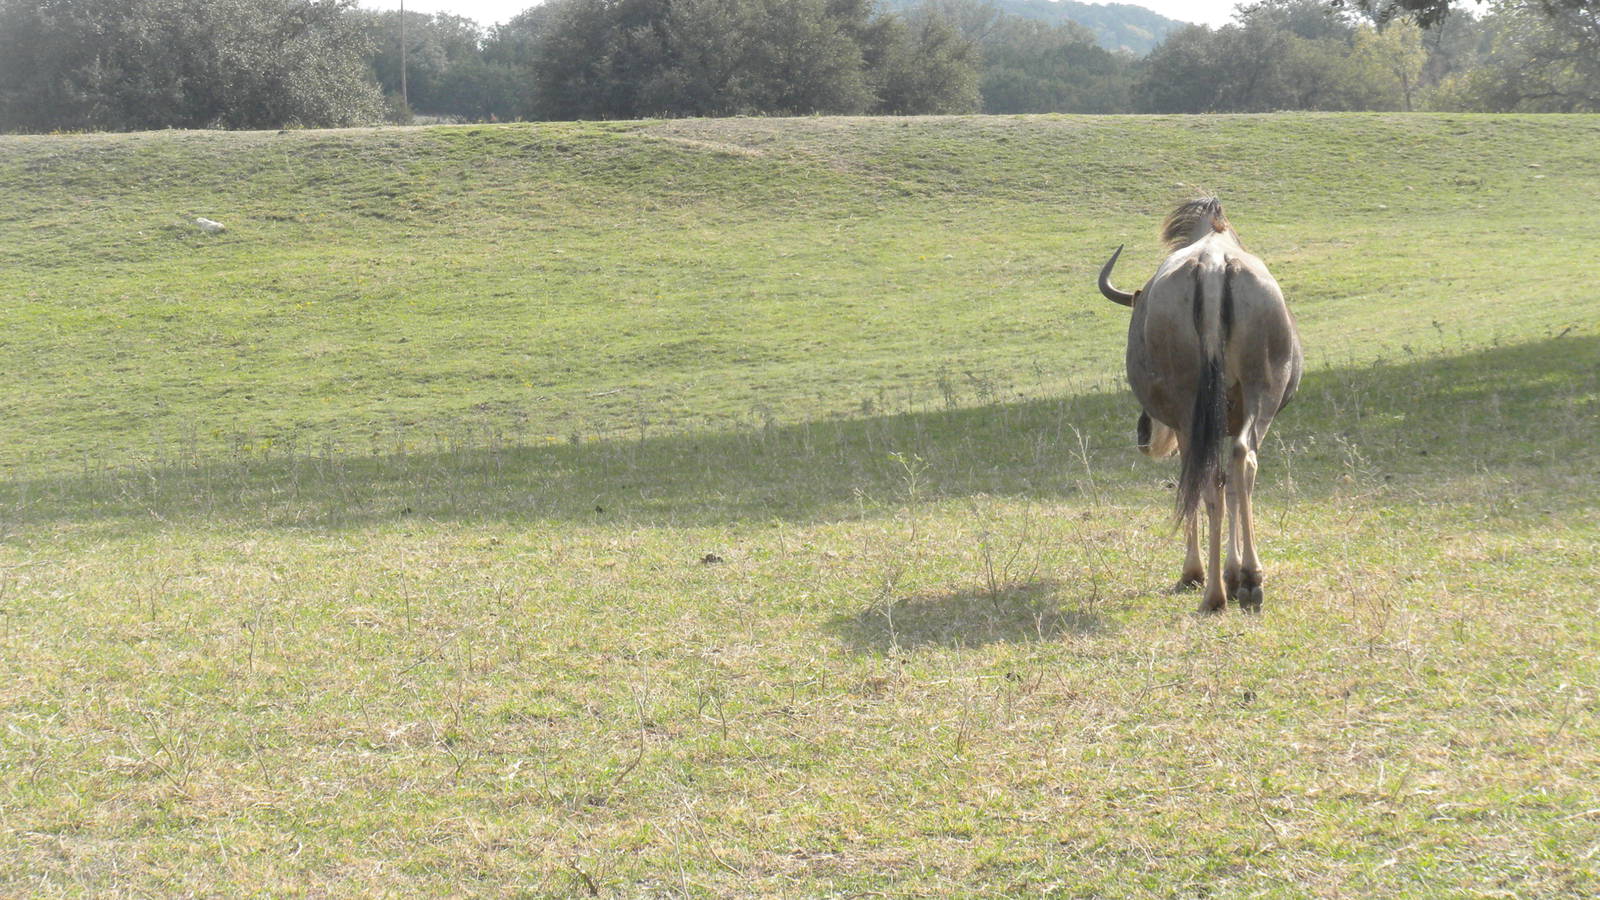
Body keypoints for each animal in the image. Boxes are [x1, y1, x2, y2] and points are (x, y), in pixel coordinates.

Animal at [1098, 198, 1303, 613]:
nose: (1144, 434)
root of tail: (1212, 266)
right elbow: (1232, 487)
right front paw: (1233, 573)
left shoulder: (1187, 426)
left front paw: (1197, 572)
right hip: (1260, 396)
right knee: (1242, 461)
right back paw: (1249, 581)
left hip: (1190, 412)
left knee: (1206, 479)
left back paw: (1213, 592)